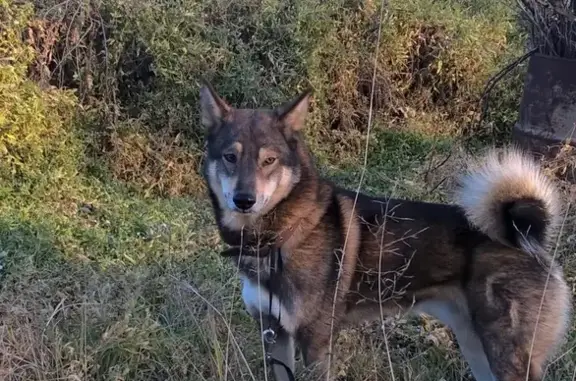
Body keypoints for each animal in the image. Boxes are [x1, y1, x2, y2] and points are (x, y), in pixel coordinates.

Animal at [199, 82, 572, 380]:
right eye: (230, 157)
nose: (244, 200)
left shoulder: (316, 343)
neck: (280, 235)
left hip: (504, 355)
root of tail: (527, 234)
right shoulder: (273, 333)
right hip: (475, 346)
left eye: (269, 160)